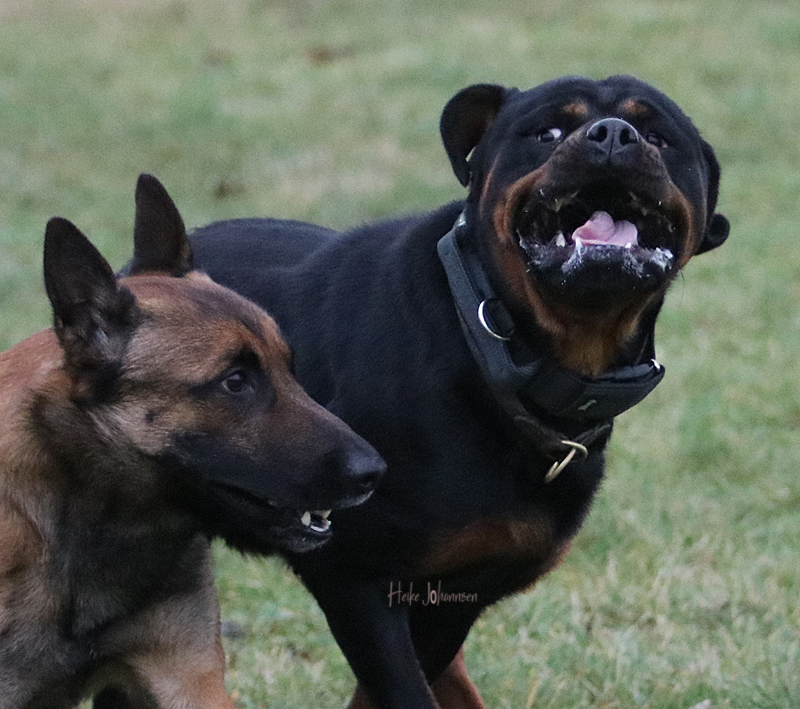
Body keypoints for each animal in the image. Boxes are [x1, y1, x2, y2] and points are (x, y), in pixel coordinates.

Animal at [190, 75, 730, 709]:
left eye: (659, 137)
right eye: (546, 131)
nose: (614, 135)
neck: (498, 350)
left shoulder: (456, 596)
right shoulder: (356, 580)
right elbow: (402, 690)